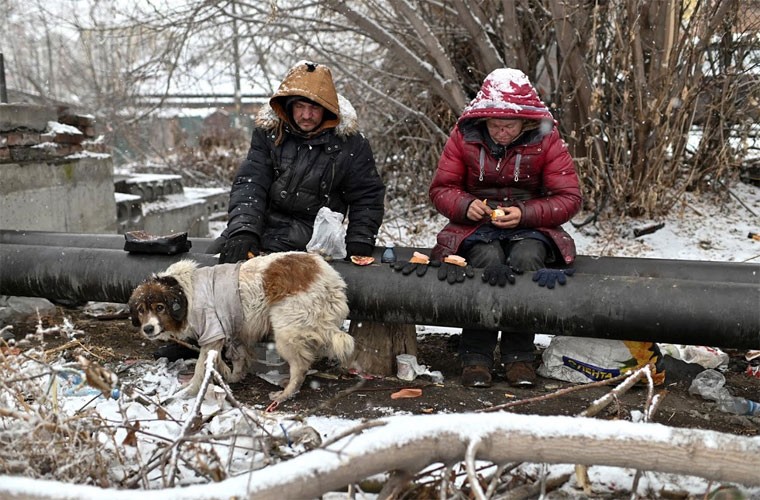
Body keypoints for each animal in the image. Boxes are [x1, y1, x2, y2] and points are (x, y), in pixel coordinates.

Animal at [129, 252, 354, 404]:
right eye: (141, 310)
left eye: (160, 307)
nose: (148, 329)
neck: (184, 291)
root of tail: (328, 278)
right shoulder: (231, 331)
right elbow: (233, 358)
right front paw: (231, 375)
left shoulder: (212, 333)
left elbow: (201, 367)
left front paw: (189, 392)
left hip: (286, 333)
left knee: (300, 367)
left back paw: (285, 394)